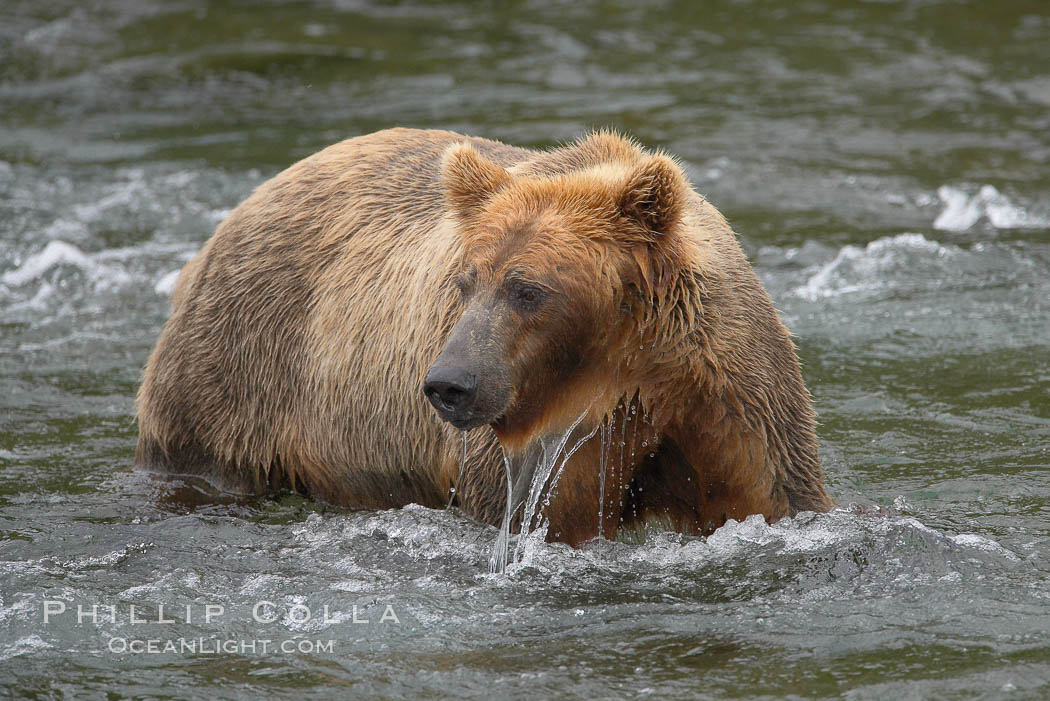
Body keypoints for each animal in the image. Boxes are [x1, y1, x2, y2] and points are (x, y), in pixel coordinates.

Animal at [135, 130, 831, 545]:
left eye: (528, 290)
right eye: (465, 282)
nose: (449, 384)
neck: (626, 374)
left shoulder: (728, 395)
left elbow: (773, 494)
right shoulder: (537, 456)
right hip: (234, 373)